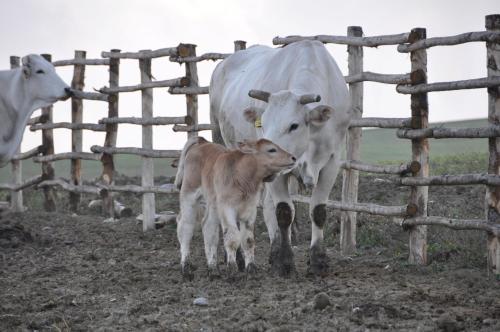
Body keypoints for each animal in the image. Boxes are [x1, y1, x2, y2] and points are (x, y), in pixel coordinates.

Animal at [209, 40, 350, 276]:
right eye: (262, 124)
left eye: (293, 125)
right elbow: (283, 211)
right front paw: (285, 261)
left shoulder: (332, 161)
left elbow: (318, 211)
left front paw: (318, 260)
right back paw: (241, 259)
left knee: (267, 206)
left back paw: (273, 251)